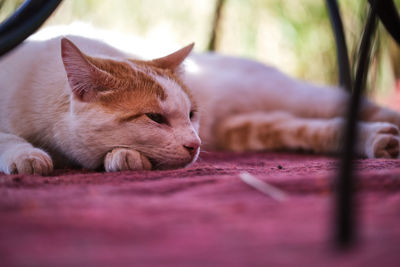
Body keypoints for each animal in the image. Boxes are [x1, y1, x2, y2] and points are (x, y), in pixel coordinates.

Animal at [0, 31, 400, 176]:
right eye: (155, 117)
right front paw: (27, 156)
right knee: (311, 128)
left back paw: (381, 137)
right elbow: (7, 136)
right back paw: (380, 141)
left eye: (191, 114)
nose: (195, 143)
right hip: (249, 128)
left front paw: (122, 156)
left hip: (297, 95)